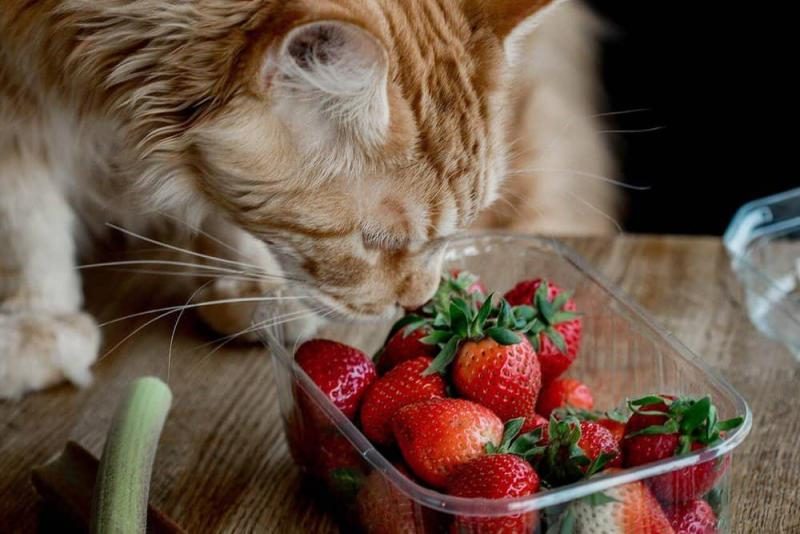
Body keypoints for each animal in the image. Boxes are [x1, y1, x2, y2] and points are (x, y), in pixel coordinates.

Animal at [0, 0, 616, 400]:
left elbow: (212, 197)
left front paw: (251, 282)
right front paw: (37, 319)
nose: (421, 300)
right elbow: (26, 221)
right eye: (376, 242)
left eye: (457, 229)